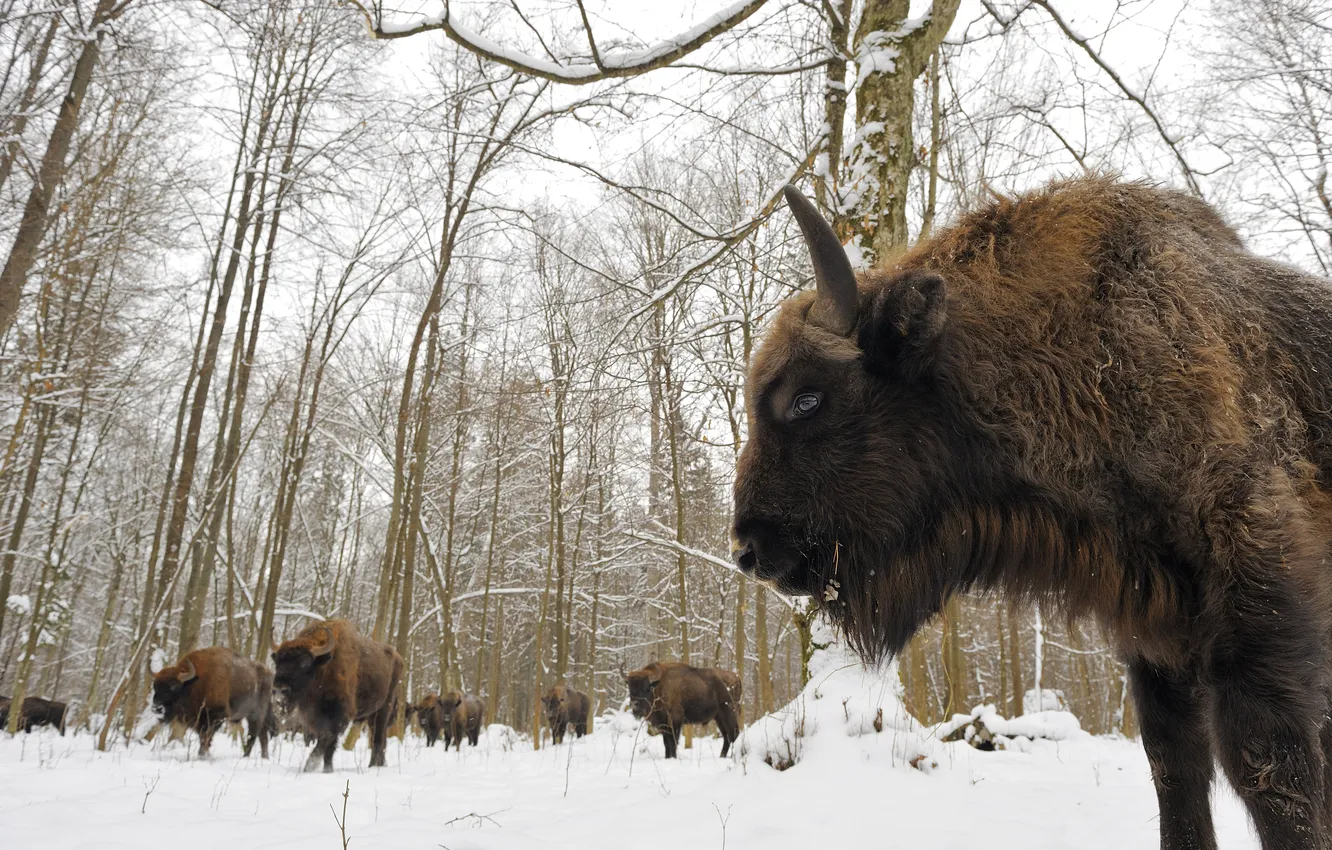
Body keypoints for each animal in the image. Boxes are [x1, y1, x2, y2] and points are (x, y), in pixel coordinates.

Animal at [267, 623, 396, 778]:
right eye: (277, 662)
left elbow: (327, 740)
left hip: (383, 709)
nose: (279, 690)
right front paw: (325, 769)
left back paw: (373, 766)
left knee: (378, 738)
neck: (323, 668)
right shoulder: (315, 718)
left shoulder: (339, 717)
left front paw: (311, 766)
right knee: (380, 739)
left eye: (305, 662)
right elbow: (325, 742)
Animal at [735, 175, 1332, 847]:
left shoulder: (1258, 606)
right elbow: (1174, 765)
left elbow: (1268, 768)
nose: (747, 548)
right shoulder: (1157, 638)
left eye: (806, 399)